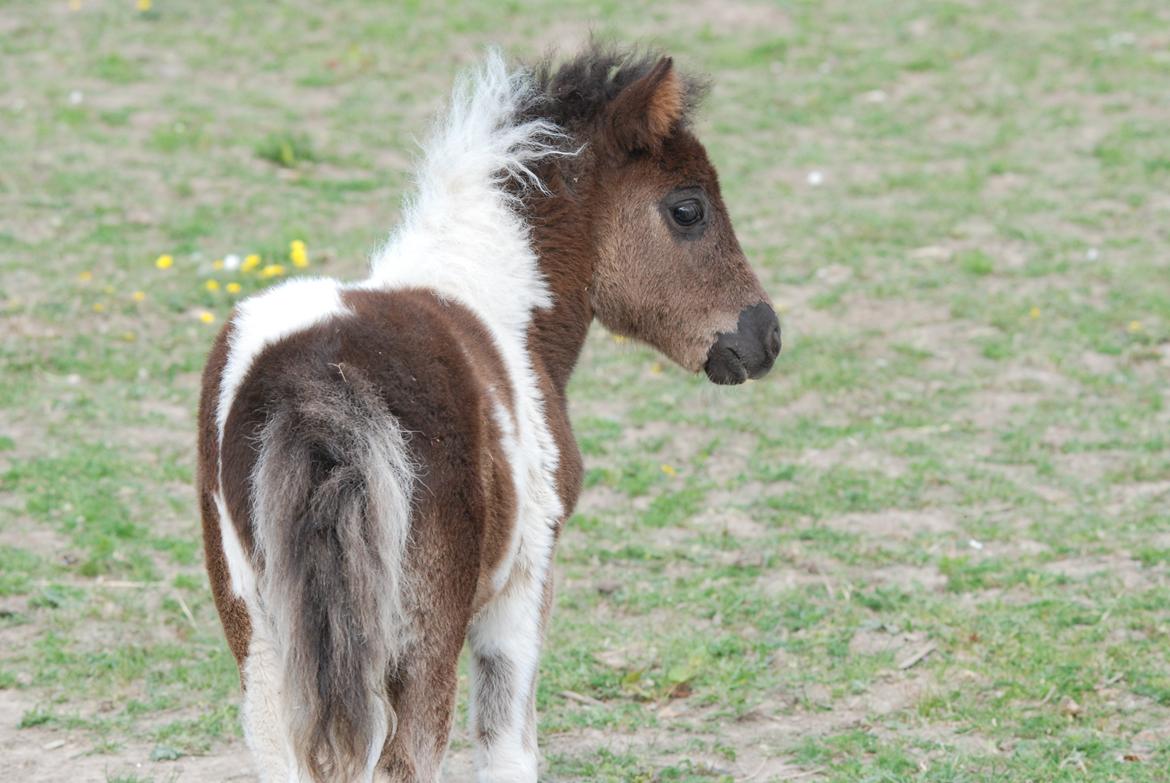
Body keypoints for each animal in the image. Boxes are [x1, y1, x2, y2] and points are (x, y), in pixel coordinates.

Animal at [196, 44, 781, 781]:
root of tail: (315, 386)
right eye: (688, 209)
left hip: (260, 635)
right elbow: (510, 744)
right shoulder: (526, 576)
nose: (765, 336)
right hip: (418, 636)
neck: (498, 301)